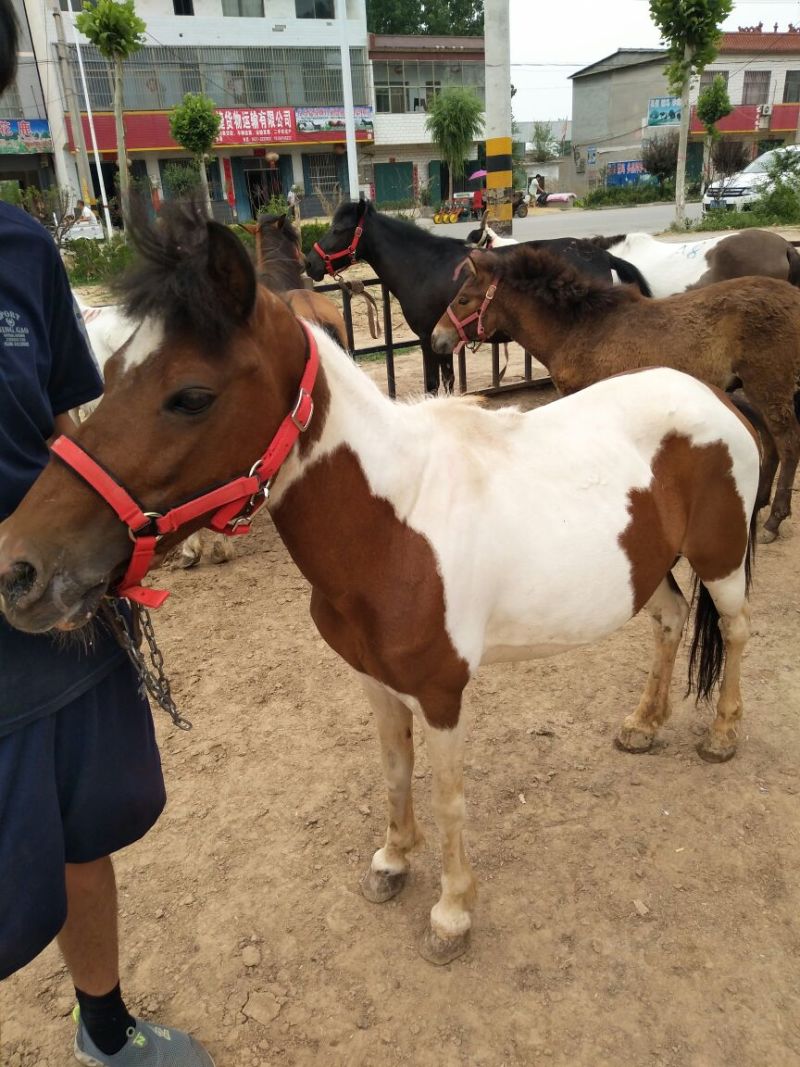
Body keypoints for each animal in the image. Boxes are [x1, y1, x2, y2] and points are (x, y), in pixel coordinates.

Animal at [304, 199, 652, 394]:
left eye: (338, 229)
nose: (310, 262)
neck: (423, 265)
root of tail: (603, 255)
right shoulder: (441, 341)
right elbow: (447, 384)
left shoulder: (428, 340)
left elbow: (433, 386)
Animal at [432, 245, 800, 541]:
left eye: (463, 299)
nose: (437, 339)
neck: (579, 329)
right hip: (756, 391)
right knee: (771, 444)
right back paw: (759, 501)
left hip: (769, 386)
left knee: (787, 444)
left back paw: (774, 520)